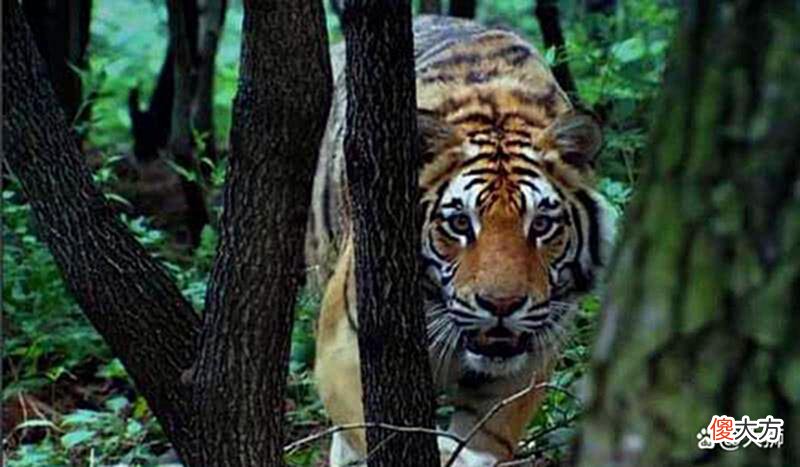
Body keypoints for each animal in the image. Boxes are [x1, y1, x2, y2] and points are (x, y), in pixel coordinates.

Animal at [305, 15, 617, 467]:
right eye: (459, 223)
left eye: (541, 225)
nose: (501, 305)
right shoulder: (346, 343)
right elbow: (376, 428)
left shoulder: (529, 360)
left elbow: (488, 438)